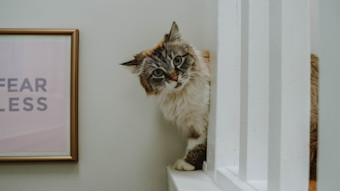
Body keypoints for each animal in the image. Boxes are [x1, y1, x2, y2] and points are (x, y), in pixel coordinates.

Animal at [121, 22, 209, 170]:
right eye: (158, 72)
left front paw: (186, 164)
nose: (175, 78)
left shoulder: (201, 118)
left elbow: (198, 144)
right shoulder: (192, 125)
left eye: (177, 60)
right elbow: (195, 141)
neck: (180, 95)